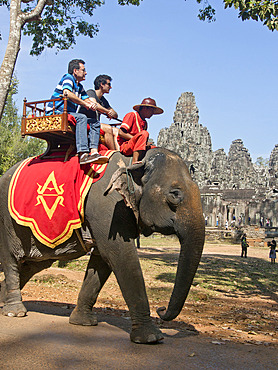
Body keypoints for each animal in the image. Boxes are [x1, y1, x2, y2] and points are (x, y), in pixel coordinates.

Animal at [0, 147, 204, 344]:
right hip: (6, 221)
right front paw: (151, 338)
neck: (134, 160)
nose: (161, 310)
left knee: (33, 265)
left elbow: (102, 260)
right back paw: (14, 312)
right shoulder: (108, 205)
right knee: (11, 260)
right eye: (174, 195)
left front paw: (83, 322)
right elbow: (119, 254)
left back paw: (2, 303)